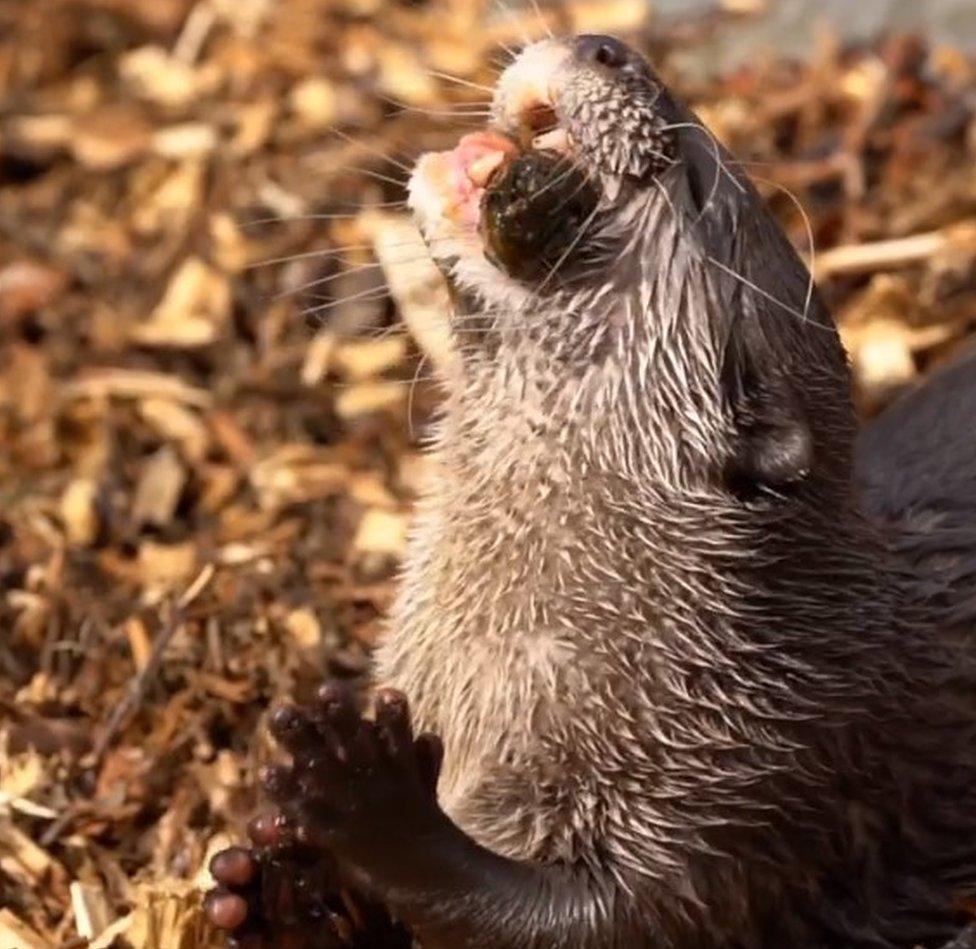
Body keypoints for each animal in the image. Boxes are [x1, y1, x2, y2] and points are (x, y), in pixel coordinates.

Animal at [204, 33, 976, 944]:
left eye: (696, 180)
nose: (609, 46)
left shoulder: (754, 785)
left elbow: (587, 918)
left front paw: (368, 798)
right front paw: (281, 895)